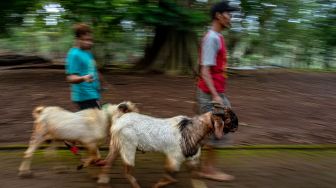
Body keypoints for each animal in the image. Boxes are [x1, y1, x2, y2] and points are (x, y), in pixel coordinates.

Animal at [97, 105, 239, 187]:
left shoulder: (191, 159)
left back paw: (103, 179)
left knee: (108, 161)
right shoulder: (174, 158)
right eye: (229, 118)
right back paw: (135, 184)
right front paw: (158, 185)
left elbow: (195, 176)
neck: (191, 130)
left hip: (115, 145)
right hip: (128, 147)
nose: (237, 126)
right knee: (127, 170)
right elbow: (170, 177)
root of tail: (119, 119)